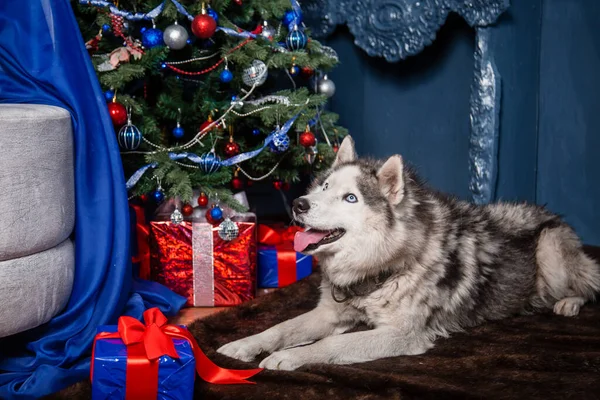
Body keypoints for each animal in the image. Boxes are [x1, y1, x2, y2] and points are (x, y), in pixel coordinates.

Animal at [218, 136, 600, 370]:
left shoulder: (401, 335)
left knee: (589, 283)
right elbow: (279, 328)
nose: (299, 204)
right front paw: (244, 346)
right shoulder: (328, 314)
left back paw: (569, 302)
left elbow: (331, 346)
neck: (379, 268)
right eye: (324, 187)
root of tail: (548, 213)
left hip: (550, 250)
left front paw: (290, 357)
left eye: (351, 198)